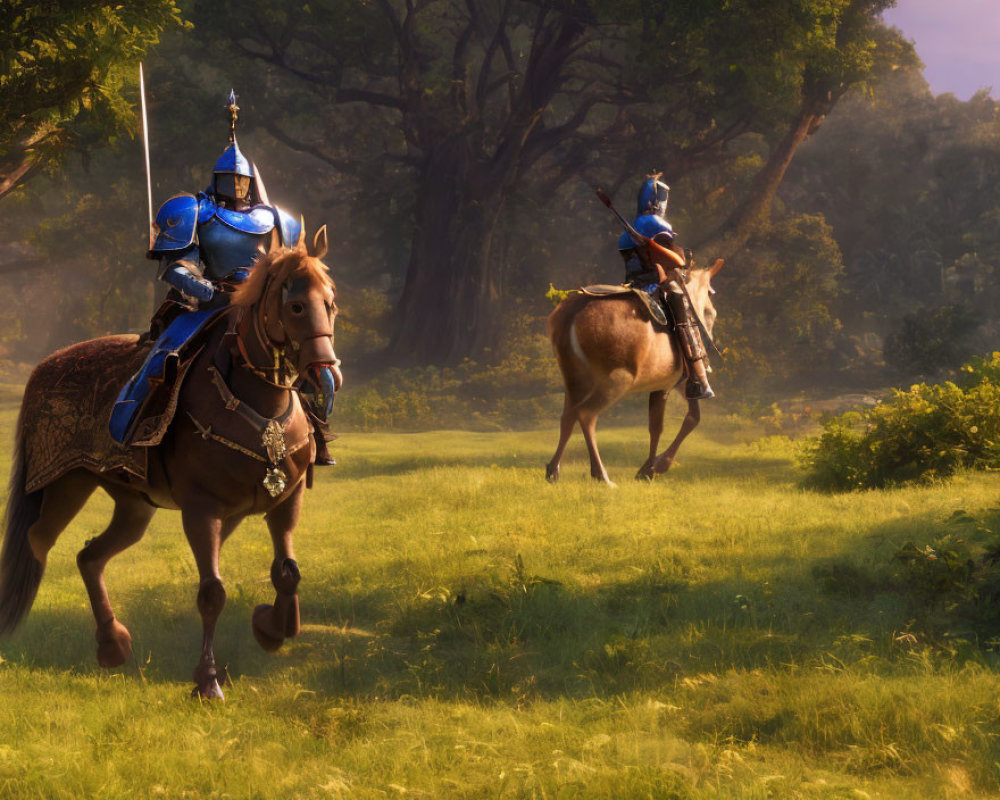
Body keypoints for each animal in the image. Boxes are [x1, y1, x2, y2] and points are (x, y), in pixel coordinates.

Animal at [0, 228, 340, 696]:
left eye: (331, 303)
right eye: (296, 306)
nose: (326, 372)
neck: (258, 401)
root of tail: (44, 367)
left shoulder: (285, 500)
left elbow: (287, 570)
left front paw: (269, 629)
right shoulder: (201, 509)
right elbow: (212, 592)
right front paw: (208, 681)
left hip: (133, 507)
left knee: (89, 557)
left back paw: (113, 644)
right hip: (64, 482)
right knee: (36, 541)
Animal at [544, 262, 724, 488]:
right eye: (710, 313)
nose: (707, 356)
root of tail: (572, 312)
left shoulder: (665, 386)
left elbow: (661, 425)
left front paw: (648, 469)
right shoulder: (678, 383)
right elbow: (686, 420)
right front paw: (657, 466)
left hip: (575, 381)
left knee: (568, 417)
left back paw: (553, 471)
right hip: (616, 381)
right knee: (586, 415)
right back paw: (601, 475)